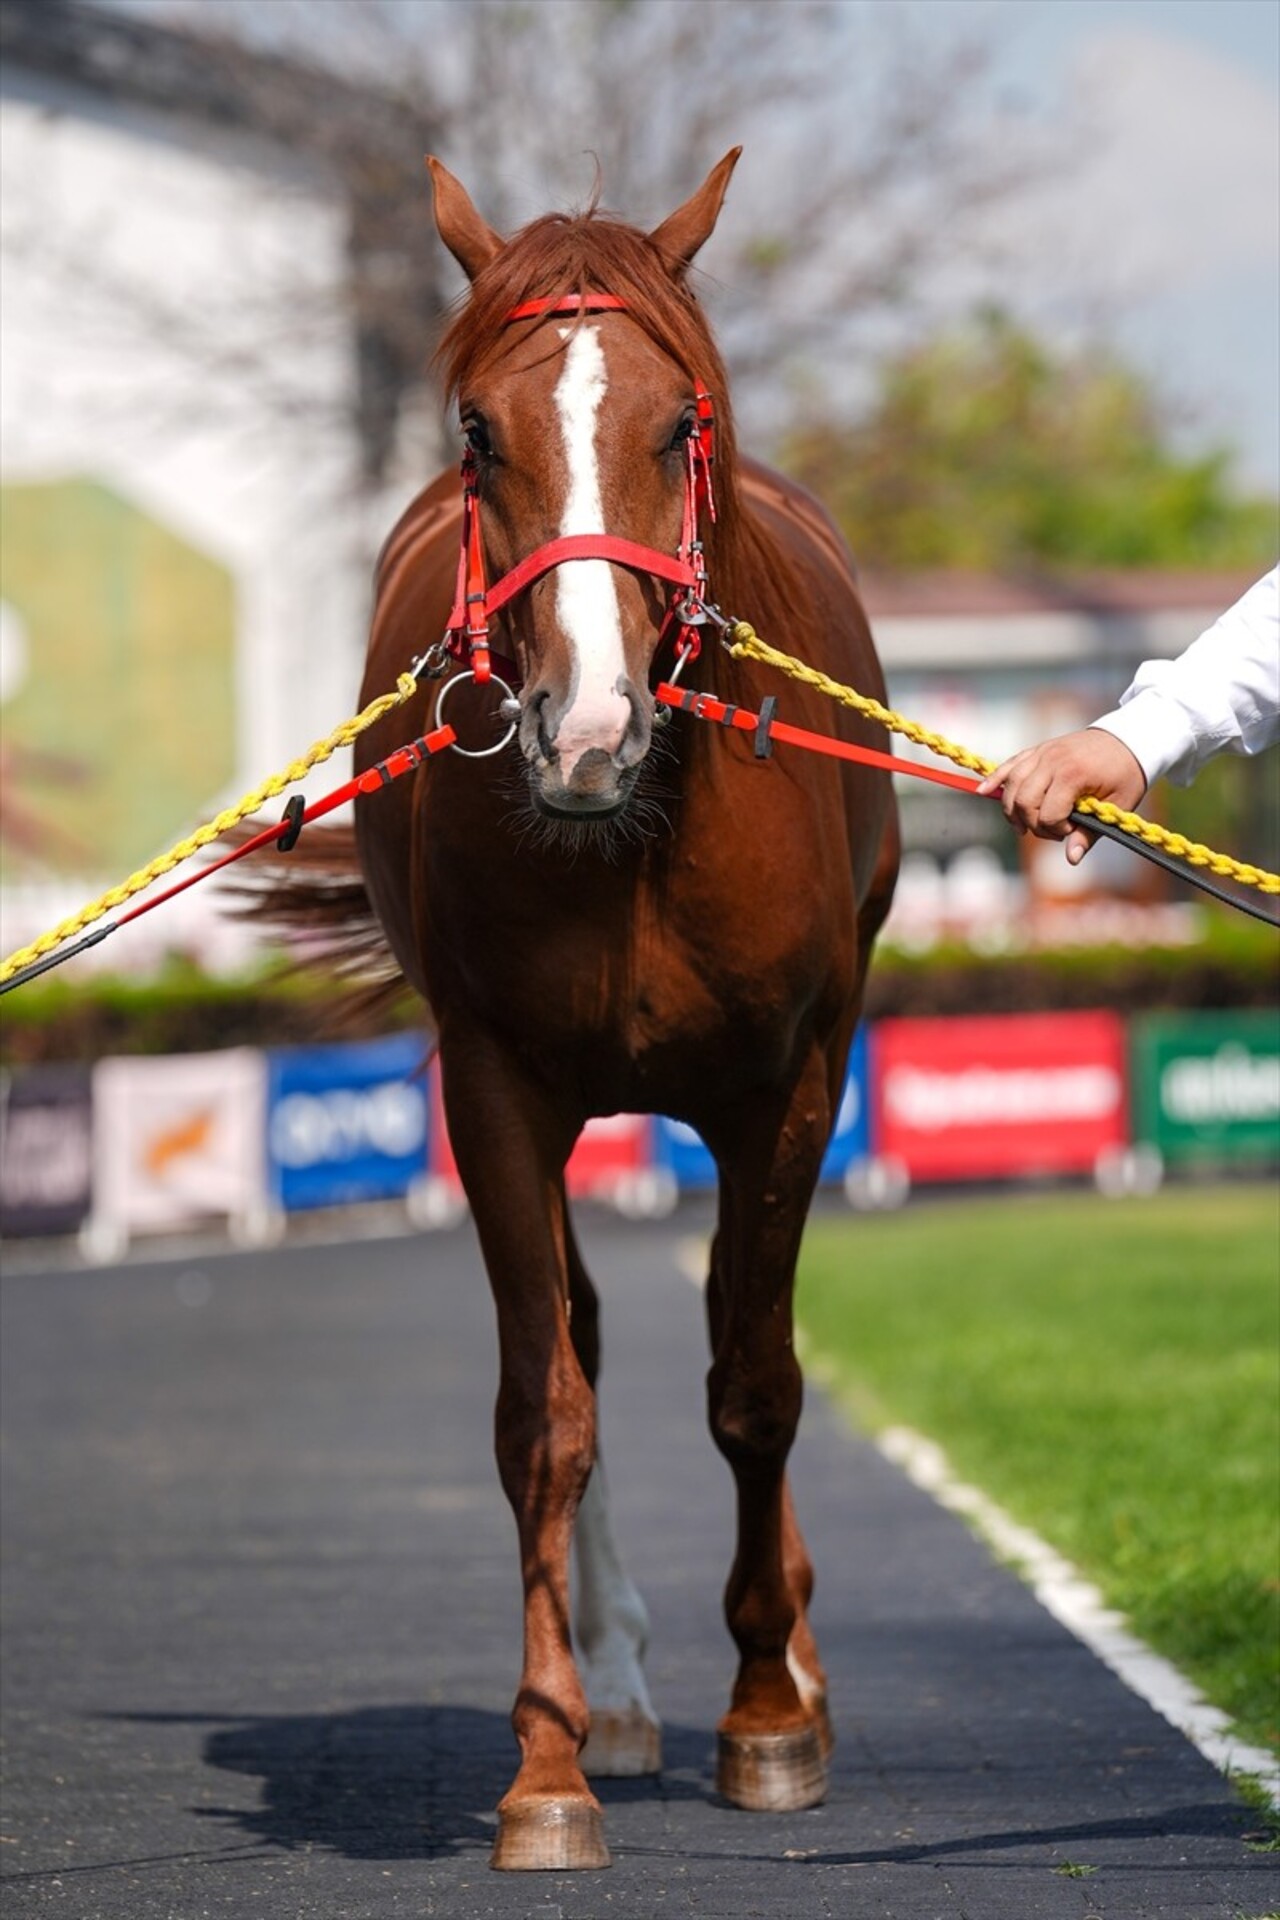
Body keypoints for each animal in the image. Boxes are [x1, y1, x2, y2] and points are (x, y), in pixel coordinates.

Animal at [339, 153, 901, 1873]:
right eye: (477, 432)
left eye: (676, 423)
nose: (584, 727)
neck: (636, 830)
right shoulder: (496, 1090)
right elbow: (549, 1415)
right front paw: (551, 1763)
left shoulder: (788, 1087)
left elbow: (757, 1381)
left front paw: (771, 1711)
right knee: (585, 1332)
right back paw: (629, 1692)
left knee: (740, 1337)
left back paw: (783, 1665)